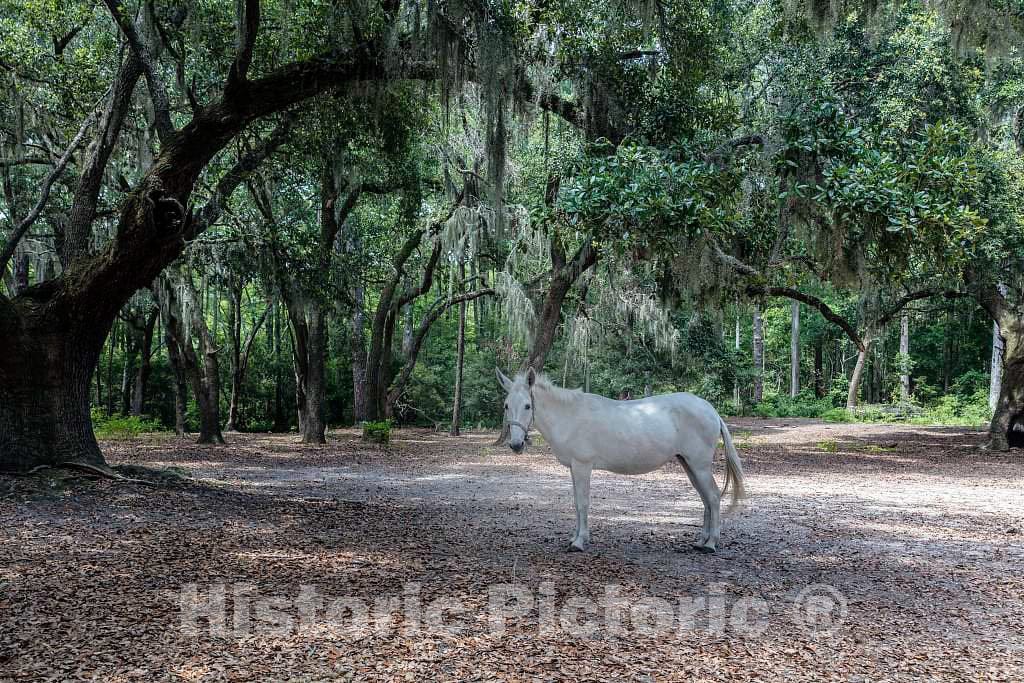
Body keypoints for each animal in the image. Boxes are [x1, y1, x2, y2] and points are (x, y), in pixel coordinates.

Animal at [496, 367, 746, 553]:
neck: (569, 416)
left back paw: (711, 544)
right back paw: (701, 541)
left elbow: (582, 503)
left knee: (713, 497)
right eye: (506, 405)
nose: (516, 444)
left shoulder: (582, 466)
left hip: (700, 466)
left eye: (528, 406)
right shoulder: (573, 469)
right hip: (689, 465)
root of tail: (711, 411)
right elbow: (576, 503)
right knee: (706, 499)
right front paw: (575, 538)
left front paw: (579, 542)